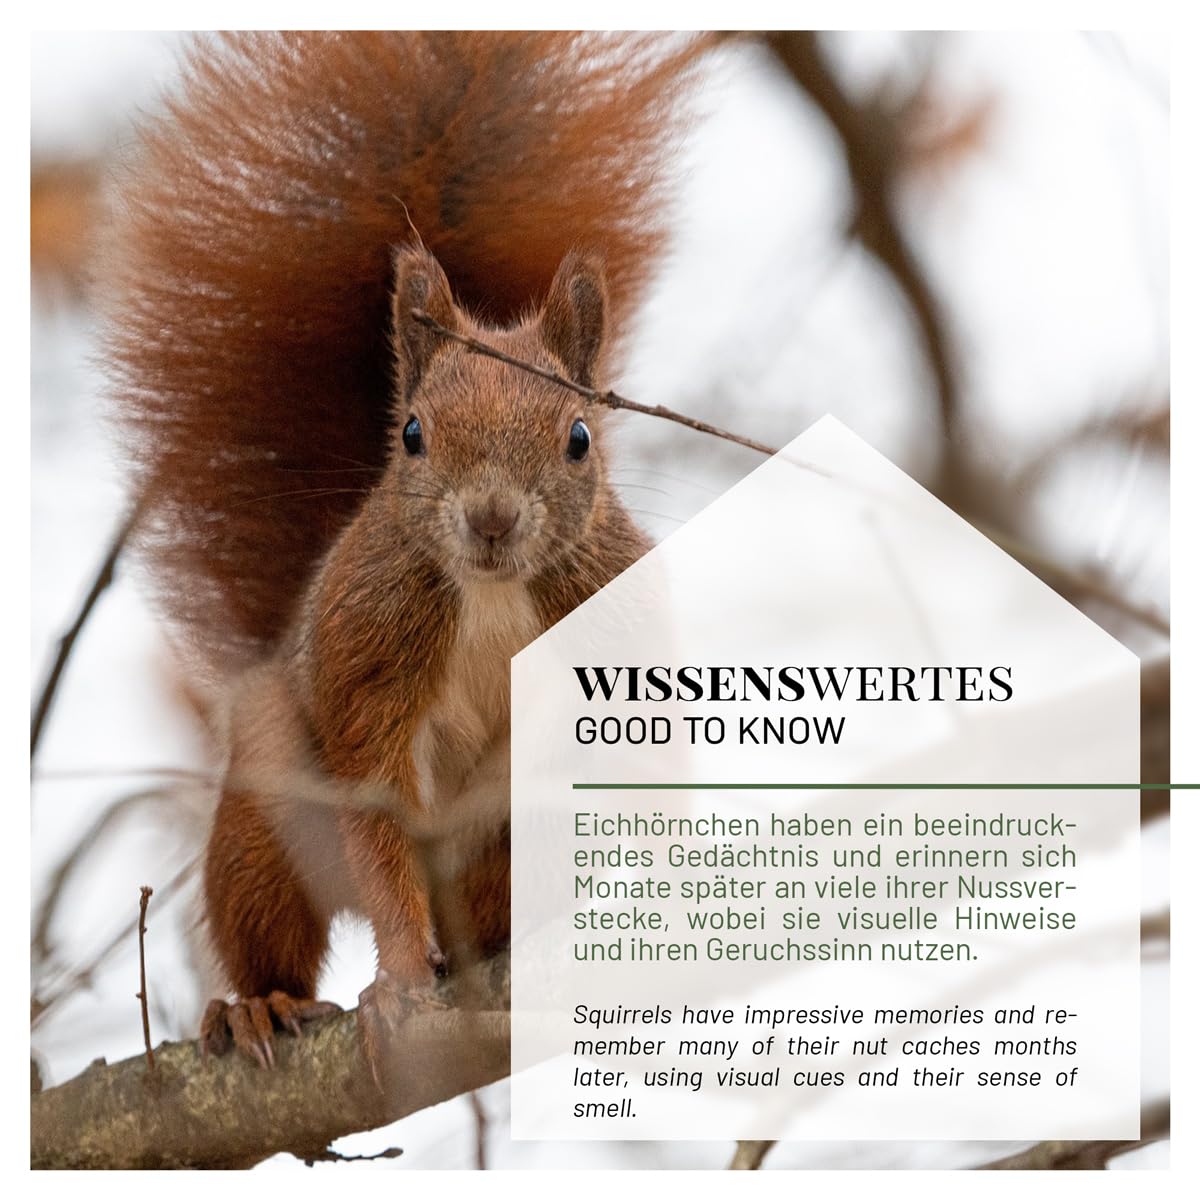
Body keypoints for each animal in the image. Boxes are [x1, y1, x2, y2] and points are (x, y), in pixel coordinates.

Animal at [102, 31, 707, 1073]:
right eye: (414, 434)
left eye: (579, 438)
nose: (493, 519)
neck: (493, 592)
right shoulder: (370, 665)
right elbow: (379, 812)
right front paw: (393, 982)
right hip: (268, 809)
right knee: (273, 915)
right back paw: (259, 1006)